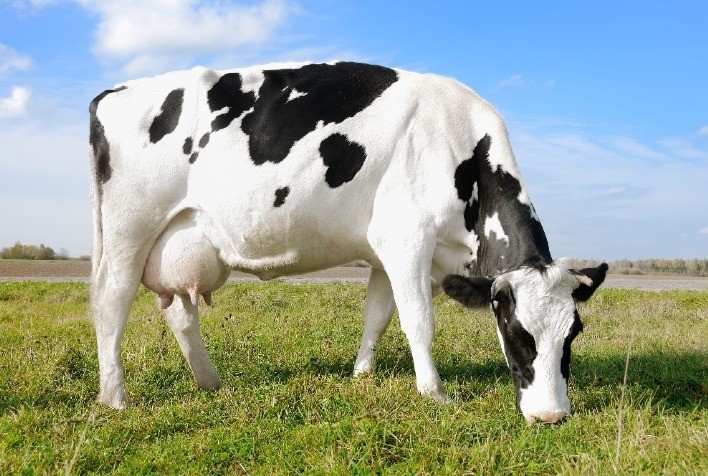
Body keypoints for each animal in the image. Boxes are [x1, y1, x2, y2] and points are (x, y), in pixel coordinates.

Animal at [89, 61, 607, 423]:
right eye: (518, 332)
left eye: (573, 333)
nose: (552, 416)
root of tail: (115, 92)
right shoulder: (407, 239)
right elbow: (419, 322)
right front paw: (435, 394)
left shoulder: (384, 252)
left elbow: (377, 317)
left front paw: (361, 375)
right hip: (129, 229)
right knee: (111, 303)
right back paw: (115, 398)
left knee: (179, 312)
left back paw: (210, 382)